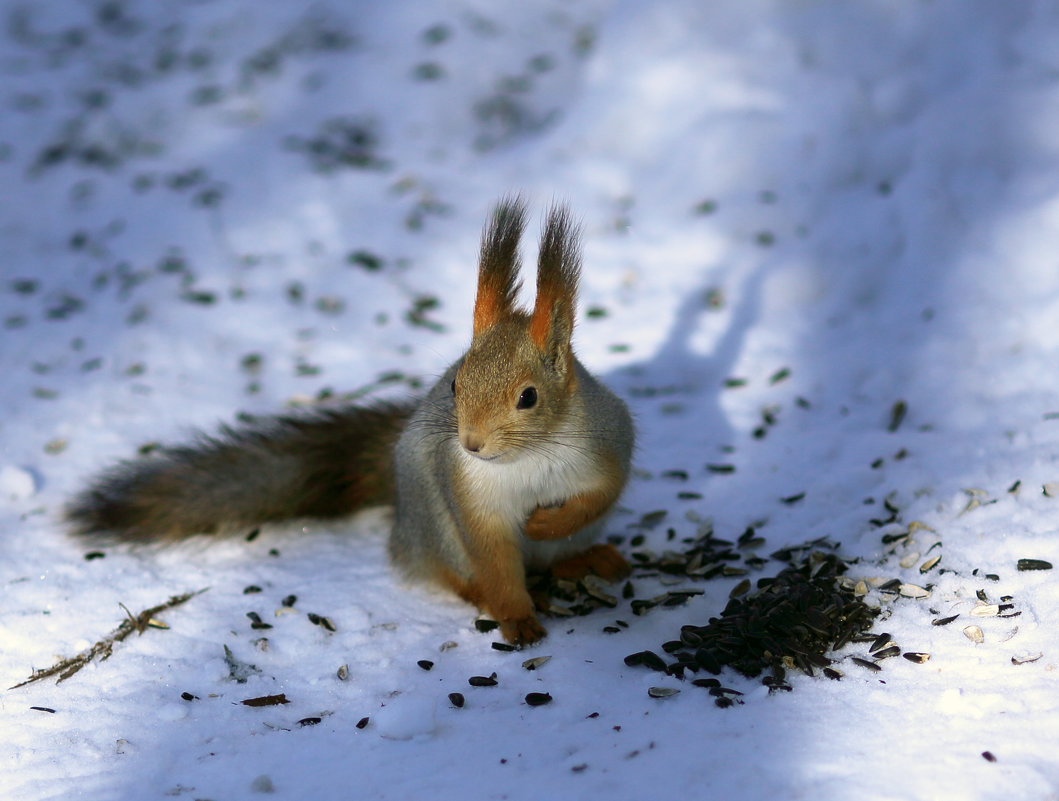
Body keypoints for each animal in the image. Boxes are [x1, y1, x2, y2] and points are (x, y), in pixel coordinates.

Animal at [68, 200, 635, 644]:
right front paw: (516, 617)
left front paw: (545, 520)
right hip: (433, 524)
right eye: (456, 384)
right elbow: (494, 560)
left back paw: (591, 560)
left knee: (562, 554)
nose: (471, 444)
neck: (528, 458)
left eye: (528, 397)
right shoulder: (470, 498)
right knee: (455, 573)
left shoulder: (608, 444)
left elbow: (599, 495)